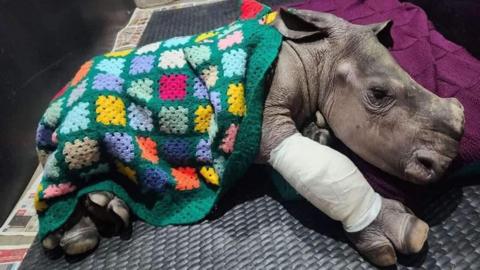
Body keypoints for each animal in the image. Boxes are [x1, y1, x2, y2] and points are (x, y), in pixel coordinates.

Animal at [39, 7, 464, 266]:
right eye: (377, 94)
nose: (444, 164)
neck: (315, 57)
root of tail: (60, 95)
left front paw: (319, 130)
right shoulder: (263, 118)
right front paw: (402, 231)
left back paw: (104, 208)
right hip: (78, 120)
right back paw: (78, 232)